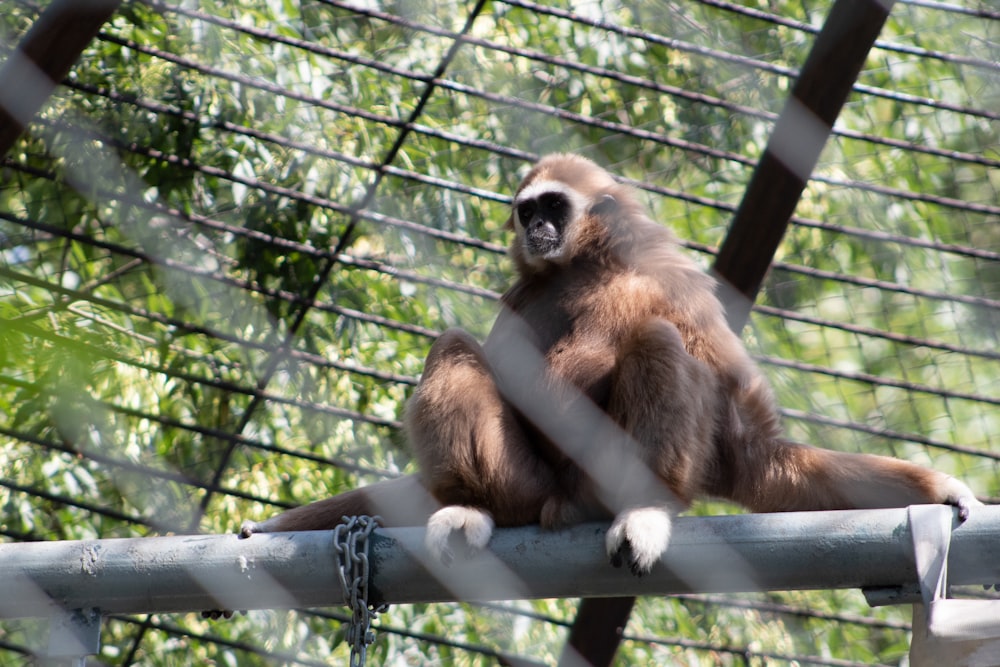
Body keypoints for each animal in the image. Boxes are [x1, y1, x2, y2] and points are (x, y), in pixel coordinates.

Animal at [244, 153, 984, 580]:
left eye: (553, 205)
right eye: (527, 211)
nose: (538, 228)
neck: (593, 264)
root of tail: (560, 501)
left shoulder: (677, 278)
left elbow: (752, 449)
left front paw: (941, 487)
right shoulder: (526, 290)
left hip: (595, 477)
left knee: (656, 338)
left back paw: (646, 506)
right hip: (528, 479)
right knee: (457, 349)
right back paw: (473, 506)